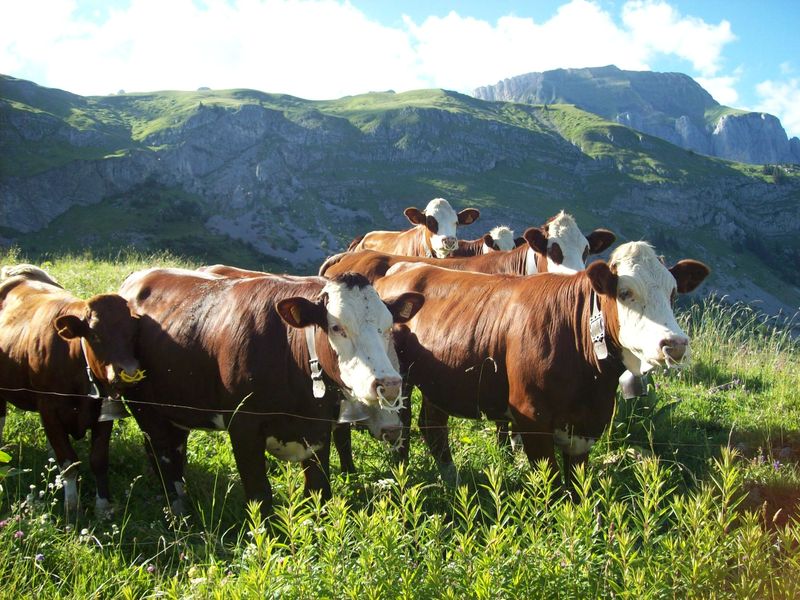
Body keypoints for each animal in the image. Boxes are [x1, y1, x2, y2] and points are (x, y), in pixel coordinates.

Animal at [0, 264, 142, 515]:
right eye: (94, 335)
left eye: (133, 333)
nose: (129, 371)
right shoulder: (48, 407)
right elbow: (68, 462)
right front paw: (72, 506)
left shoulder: (104, 414)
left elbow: (98, 460)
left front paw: (102, 506)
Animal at [118, 268, 424, 516]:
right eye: (337, 327)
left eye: (387, 327)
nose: (389, 384)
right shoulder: (243, 427)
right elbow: (260, 497)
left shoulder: (319, 430)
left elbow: (319, 491)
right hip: (144, 407)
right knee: (162, 454)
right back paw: (178, 510)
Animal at [373, 242, 709, 490]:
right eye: (625, 293)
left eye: (673, 293)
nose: (675, 344)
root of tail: (401, 269)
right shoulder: (531, 418)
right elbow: (551, 486)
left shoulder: (586, 426)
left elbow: (576, 488)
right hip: (401, 382)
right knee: (404, 429)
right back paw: (403, 480)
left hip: (440, 384)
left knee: (433, 428)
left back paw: (454, 482)